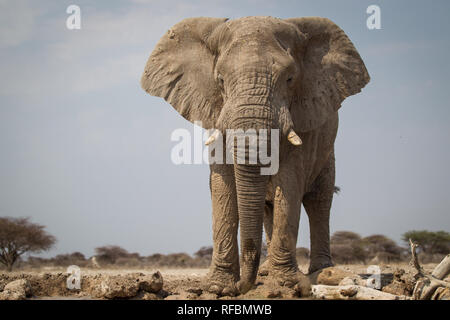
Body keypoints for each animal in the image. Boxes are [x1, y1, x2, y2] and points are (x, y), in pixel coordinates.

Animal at [141, 15, 370, 296]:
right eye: (220, 80)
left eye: (290, 79)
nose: (243, 287)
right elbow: (223, 187)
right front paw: (219, 288)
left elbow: (289, 185)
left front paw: (285, 286)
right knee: (268, 207)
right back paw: (266, 271)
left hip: (328, 151)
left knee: (318, 200)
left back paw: (322, 272)